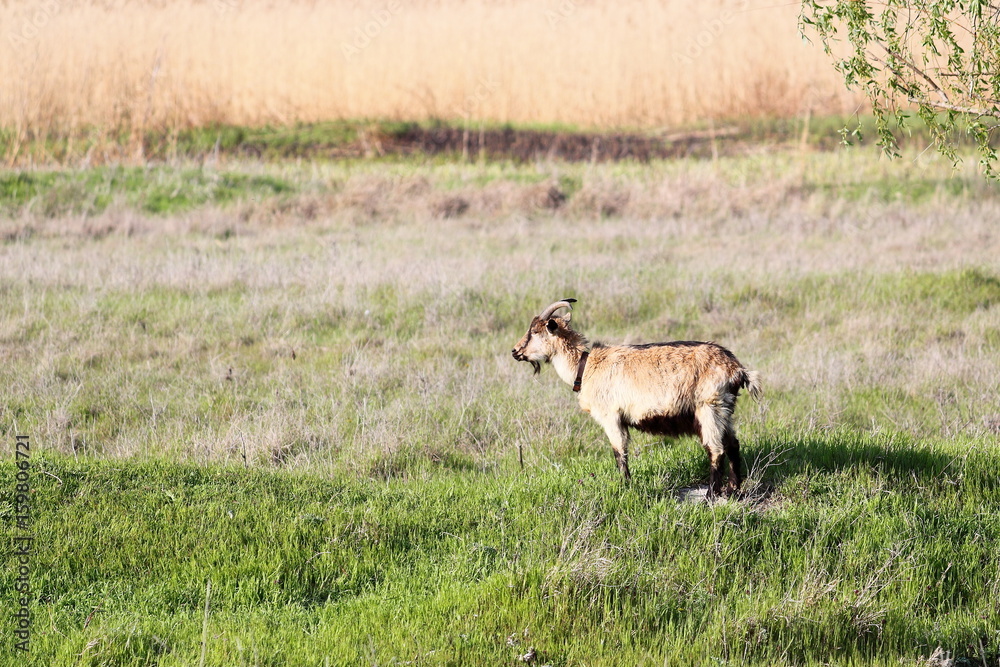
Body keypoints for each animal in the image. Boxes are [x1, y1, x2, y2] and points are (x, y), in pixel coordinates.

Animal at [512, 298, 761, 497]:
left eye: (535, 332)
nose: (515, 351)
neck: (587, 367)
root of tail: (736, 369)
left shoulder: (611, 416)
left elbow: (619, 452)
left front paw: (625, 487)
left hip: (709, 407)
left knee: (716, 449)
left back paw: (711, 494)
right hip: (725, 409)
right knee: (733, 444)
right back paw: (733, 488)